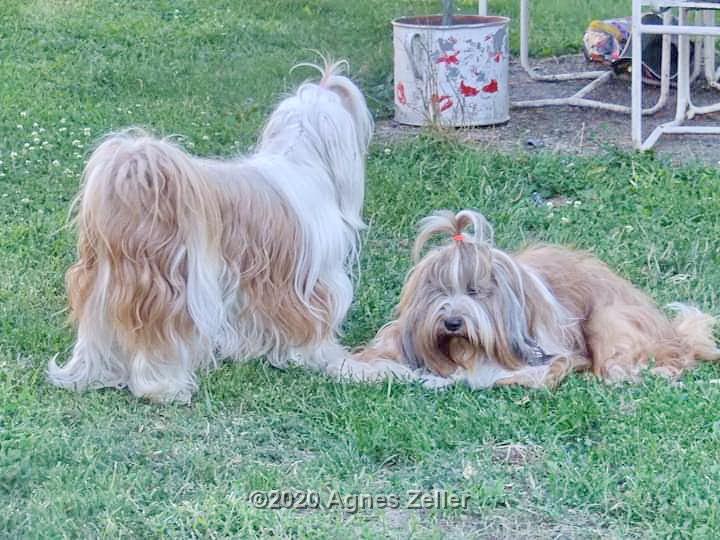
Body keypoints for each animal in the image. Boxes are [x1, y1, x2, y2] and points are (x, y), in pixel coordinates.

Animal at [49, 61, 410, 402]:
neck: (300, 159)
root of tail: (135, 174)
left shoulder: (252, 279)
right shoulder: (313, 278)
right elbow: (316, 328)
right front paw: (336, 362)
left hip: (101, 282)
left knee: (95, 332)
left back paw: (87, 375)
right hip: (169, 288)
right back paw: (165, 389)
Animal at [356, 209, 720, 390]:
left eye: (475, 291)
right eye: (441, 291)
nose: (453, 322)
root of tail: (672, 333)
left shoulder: (548, 355)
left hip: (609, 319)